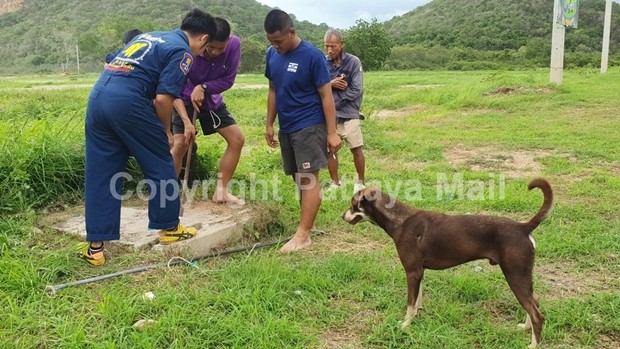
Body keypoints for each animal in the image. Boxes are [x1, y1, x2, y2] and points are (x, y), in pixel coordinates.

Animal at [344, 178, 552, 346]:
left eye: (353, 204)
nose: (342, 216)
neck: (401, 221)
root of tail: (523, 227)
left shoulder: (412, 272)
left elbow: (410, 304)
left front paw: (405, 325)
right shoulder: (419, 272)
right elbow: (417, 301)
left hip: (515, 275)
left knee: (537, 314)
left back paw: (532, 344)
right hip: (523, 277)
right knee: (534, 303)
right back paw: (525, 328)